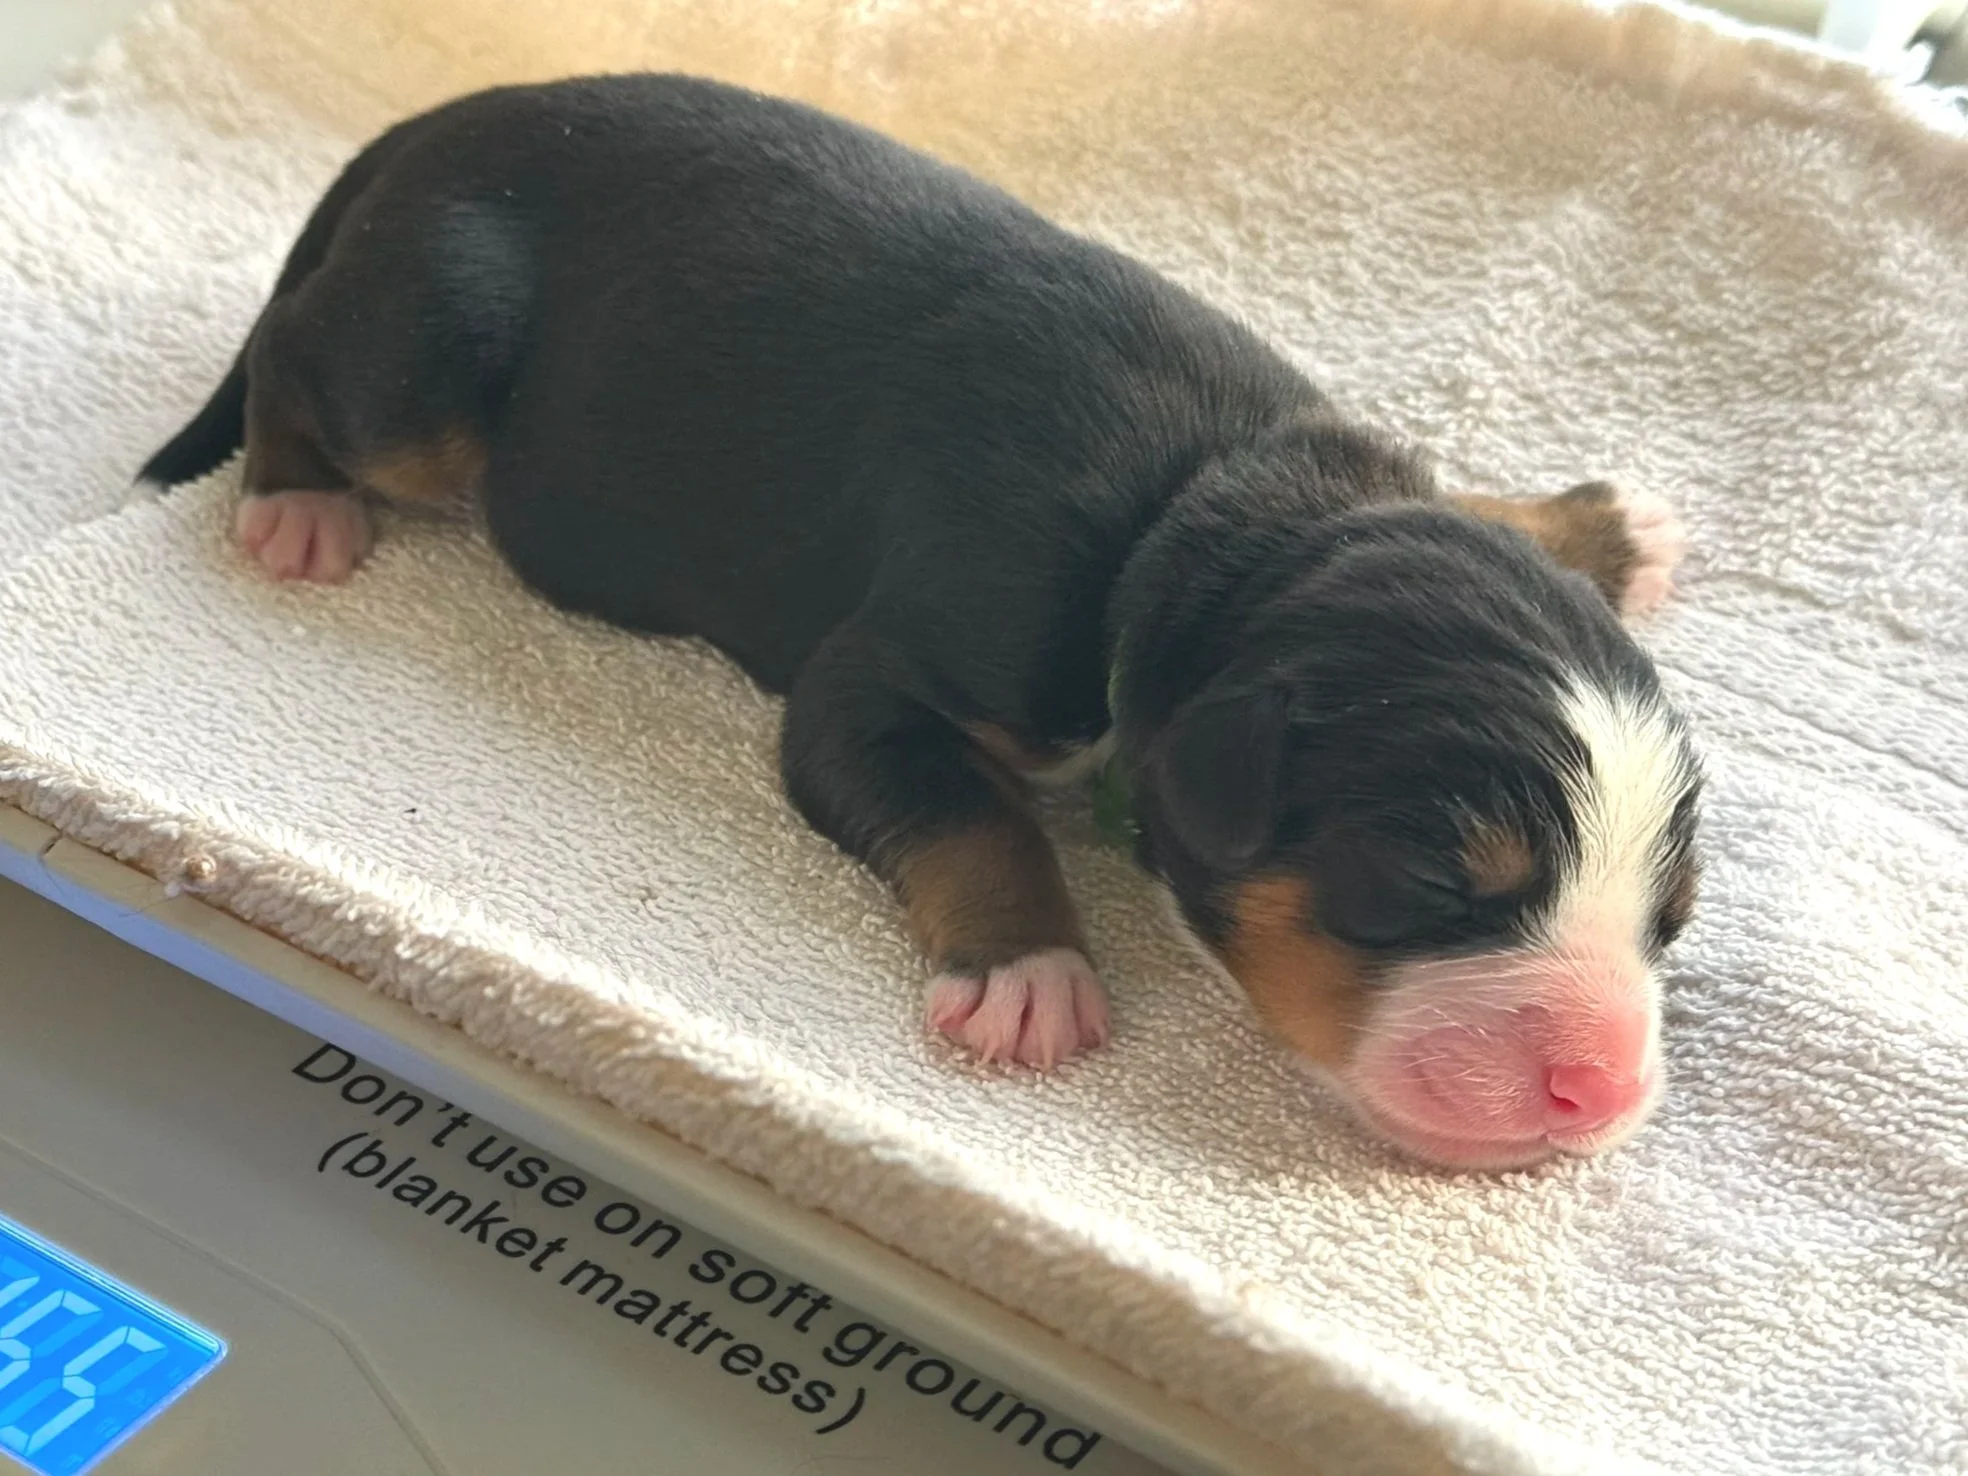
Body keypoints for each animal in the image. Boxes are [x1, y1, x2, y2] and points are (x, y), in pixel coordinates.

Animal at [142, 74, 1701, 1170]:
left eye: (1669, 919)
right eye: (1434, 885)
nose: (1601, 1087)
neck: (1204, 501)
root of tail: (442, 124)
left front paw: (1596, 525)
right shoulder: (884, 676)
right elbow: (970, 811)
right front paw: (1029, 969)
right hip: (437, 343)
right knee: (295, 359)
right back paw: (295, 506)